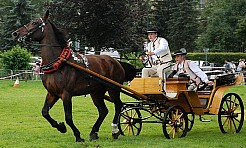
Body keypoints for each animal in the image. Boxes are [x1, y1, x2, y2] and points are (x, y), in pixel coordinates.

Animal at [12, 10, 136, 142]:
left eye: (35, 23)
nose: (15, 33)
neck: (60, 63)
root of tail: (116, 62)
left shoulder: (66, 94)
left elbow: (68, 117)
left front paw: (77, 135)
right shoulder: (52, 93)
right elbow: (45, 112)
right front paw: (60, 127)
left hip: (113, 88)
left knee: (119, 105)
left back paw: (115, 130)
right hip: (96, 92)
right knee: (103, 111)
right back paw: (94, 132)